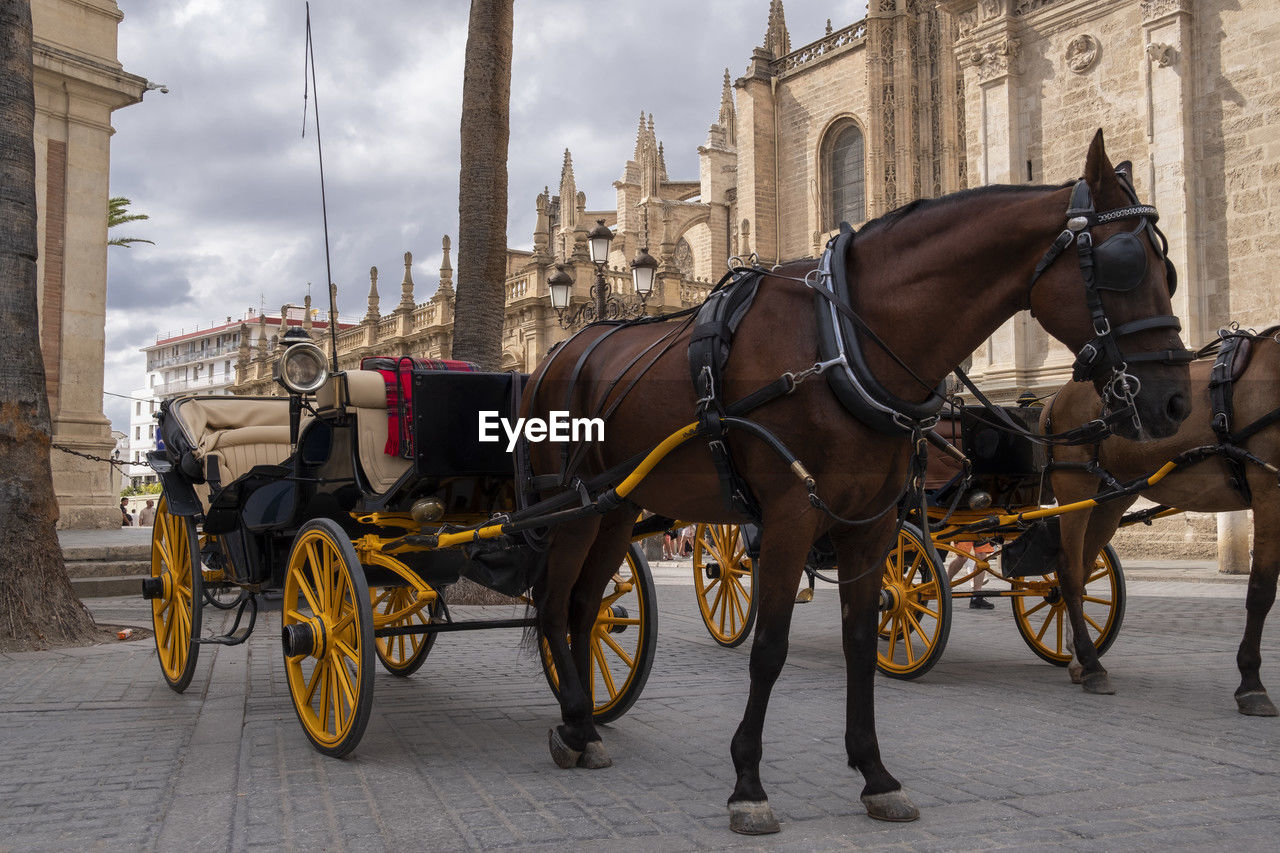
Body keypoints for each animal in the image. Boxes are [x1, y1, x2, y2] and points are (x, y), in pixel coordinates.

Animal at [519, 133, 1187, 829]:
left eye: (1169, 271)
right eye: (1122, 264)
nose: (1173, 401)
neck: (840, 341)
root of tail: (561, 351)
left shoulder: (873, 522)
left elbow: (864, 639)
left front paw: (874, 773)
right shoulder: (790, 515)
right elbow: (770, 647)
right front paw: (749, 784)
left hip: (614, 509)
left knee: (584, 606)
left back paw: (583, 724)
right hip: (569, 509)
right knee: (557, 603)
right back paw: (575, 721)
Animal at [1049, 330, 1280, 712]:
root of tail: (1056, 397)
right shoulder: (1268, 490)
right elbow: (1261, 590)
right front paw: (1251, 683)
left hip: (1112, 497)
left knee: (1082, 570)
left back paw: (1080, 662)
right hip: (1074, 486)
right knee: (1068, 572)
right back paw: (1092, 666)